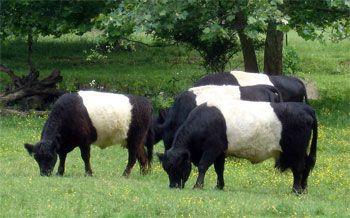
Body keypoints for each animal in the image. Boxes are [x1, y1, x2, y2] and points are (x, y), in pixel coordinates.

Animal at [24, 90, 153, 177]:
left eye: (50, 157)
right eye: (36, 158)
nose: (44, 173)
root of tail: (145, 102)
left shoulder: (84, 141)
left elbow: (85, 157)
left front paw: (88, 173)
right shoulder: (63, 144)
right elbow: (62, 157)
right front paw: (60, 172)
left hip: (135, 138)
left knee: (133, 157)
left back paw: (125, 175)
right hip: (136, 141)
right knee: (143, 156)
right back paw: (144, 174)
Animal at [159, 100, 318, 194]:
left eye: (177, 166)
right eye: (166, 169)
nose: (173, 186)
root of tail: (306, 108)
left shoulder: (212, 149)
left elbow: (203, 166)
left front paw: (198, 186)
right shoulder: (221, 152)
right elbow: (219, 169)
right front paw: (219, 186)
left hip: (296, 150)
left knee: (299, 167)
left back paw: (295, 190)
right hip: (300, 150)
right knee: (306, 166)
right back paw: (303, 189)